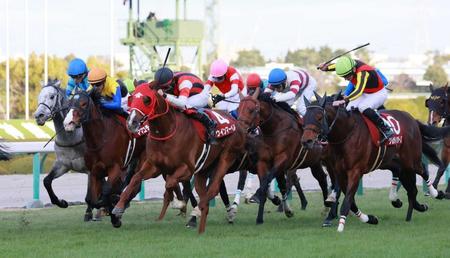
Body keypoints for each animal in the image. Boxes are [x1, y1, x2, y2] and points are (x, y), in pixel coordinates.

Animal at [62, 90, 146, 228]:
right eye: (69, 103)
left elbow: (106, 192)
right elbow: (91, 199)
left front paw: (114, 214)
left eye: (83, 104)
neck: (101, 138)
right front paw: (112, 214)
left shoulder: (115, 168)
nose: (68, 123)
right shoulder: (94, 171)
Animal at [237, 88, 328, 224]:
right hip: (314, 163)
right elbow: (269, 183)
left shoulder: (283, 159)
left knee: (322, 179)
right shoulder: (263, 162)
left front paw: (261, 198)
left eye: (252, 109)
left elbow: (267, 181)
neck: (275, 130)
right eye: (238, 108)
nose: (241, 128)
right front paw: (261, 216)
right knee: (319, 178)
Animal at [300, 92, 444, 232]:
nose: (306, 141)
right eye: (304, 118)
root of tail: (411, 118)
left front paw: (340, 226)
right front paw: (370, 219)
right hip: (391, 161)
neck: (347, 133)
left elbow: (347, 199)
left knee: (423, 171)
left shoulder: (355, 171)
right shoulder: (339, 172)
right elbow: (351, 201)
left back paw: (436, 193)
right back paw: (406, 205)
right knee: (407, 182)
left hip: (410, 159)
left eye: (319, 117)